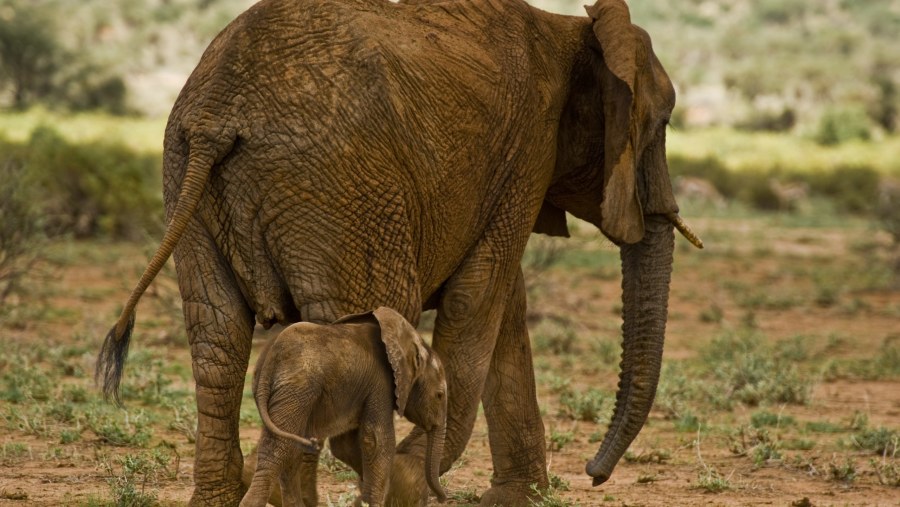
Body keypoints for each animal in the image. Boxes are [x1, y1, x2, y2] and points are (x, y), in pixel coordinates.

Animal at [241, 308, 448, 506]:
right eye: (439, 395)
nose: (442, 498)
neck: (411, 340)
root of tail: (270, 355)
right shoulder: (381, 383)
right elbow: (377, 439)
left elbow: (346, 445)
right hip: (297, 387)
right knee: (279, 447)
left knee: (289, 445)